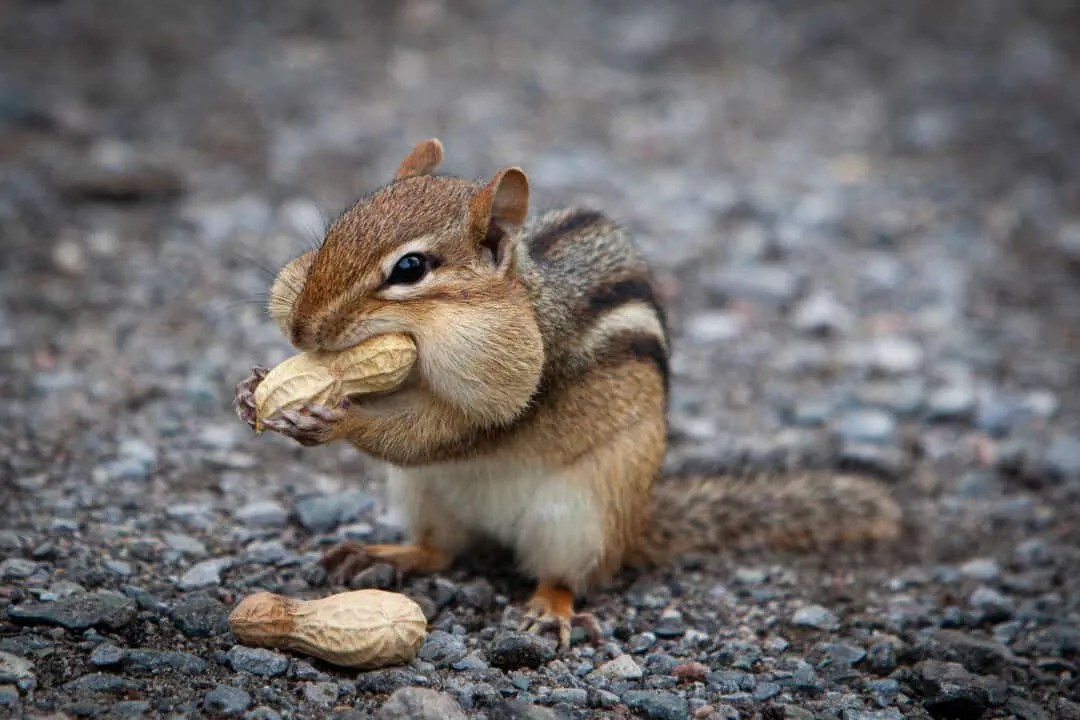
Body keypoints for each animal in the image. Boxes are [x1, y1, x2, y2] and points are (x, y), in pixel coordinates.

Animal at [234, 138, 902, 650]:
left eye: (410, 268)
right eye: (334, 233)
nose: (301, 329)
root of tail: (637, 522)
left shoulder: (513, 390)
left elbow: (443, 432)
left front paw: (335, 416)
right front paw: (253, 390)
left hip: (580, 515)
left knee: (560, 574)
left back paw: (550, 608)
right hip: (423, 495)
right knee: (441, 550)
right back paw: (388, 554)